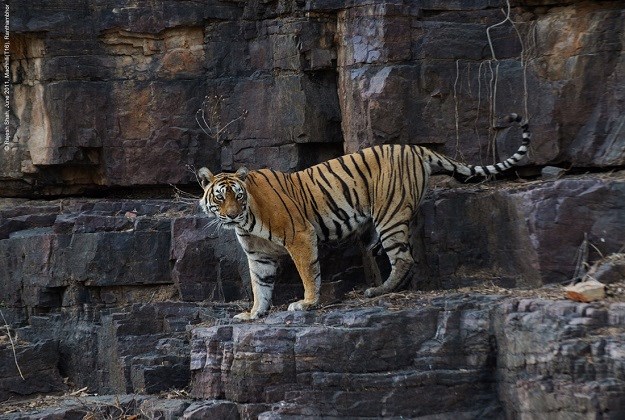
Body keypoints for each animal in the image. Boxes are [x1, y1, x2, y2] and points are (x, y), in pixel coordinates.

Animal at [197, 113, 528, 320]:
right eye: (220, 197)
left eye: (238, 196)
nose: (231, 214)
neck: (247, 222)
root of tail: (416, 148)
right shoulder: (259, 255)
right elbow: (260, 285)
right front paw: (254, 313)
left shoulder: (300, 235)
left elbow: (308, 272)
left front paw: (306, 303)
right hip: (381, 224)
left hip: (390, 216)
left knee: (404, 258)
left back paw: (379, 290)